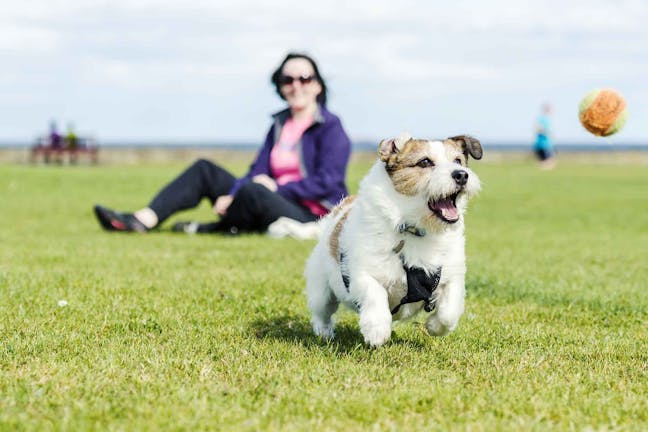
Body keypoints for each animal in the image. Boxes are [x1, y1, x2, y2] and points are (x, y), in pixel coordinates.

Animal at [304, 134, 480, 348]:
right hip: (321, 290)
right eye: (425, 162)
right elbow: (374, 294)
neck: (415, 230)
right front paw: (377, 329)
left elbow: (449, 311)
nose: (461, 175)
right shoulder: (363, 273)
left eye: (458, 161)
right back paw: (324, 332)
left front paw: (434, 326)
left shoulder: (452, 275)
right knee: (321, 311)